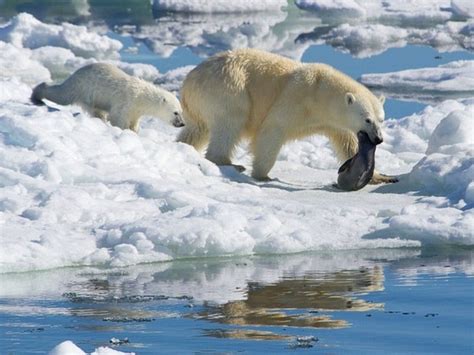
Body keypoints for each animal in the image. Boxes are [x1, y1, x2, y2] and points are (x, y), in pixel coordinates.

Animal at [32, 63, 184, 132]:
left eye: (182, 112)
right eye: (175, 112)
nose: (182, 124)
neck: (141, 96)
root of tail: (75, 74)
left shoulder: (136, 110)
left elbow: (134, 121)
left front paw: (134, 130)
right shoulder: (125, 101)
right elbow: (117, 118)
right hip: (84, 88)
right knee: (62, 95)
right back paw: (37, 94)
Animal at [176, 49, 394, 184]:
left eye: (381, 119)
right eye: (367, 119)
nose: (378, 139)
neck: (319, 93)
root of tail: (189, 82)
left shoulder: (333, 121)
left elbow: (347, 141)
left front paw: (380, 176)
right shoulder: (295, 98)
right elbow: (272, 130)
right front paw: (263, 175)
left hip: (197, 106)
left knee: (197, 130)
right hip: (229, 88)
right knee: (230, 122)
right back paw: (229, 163)